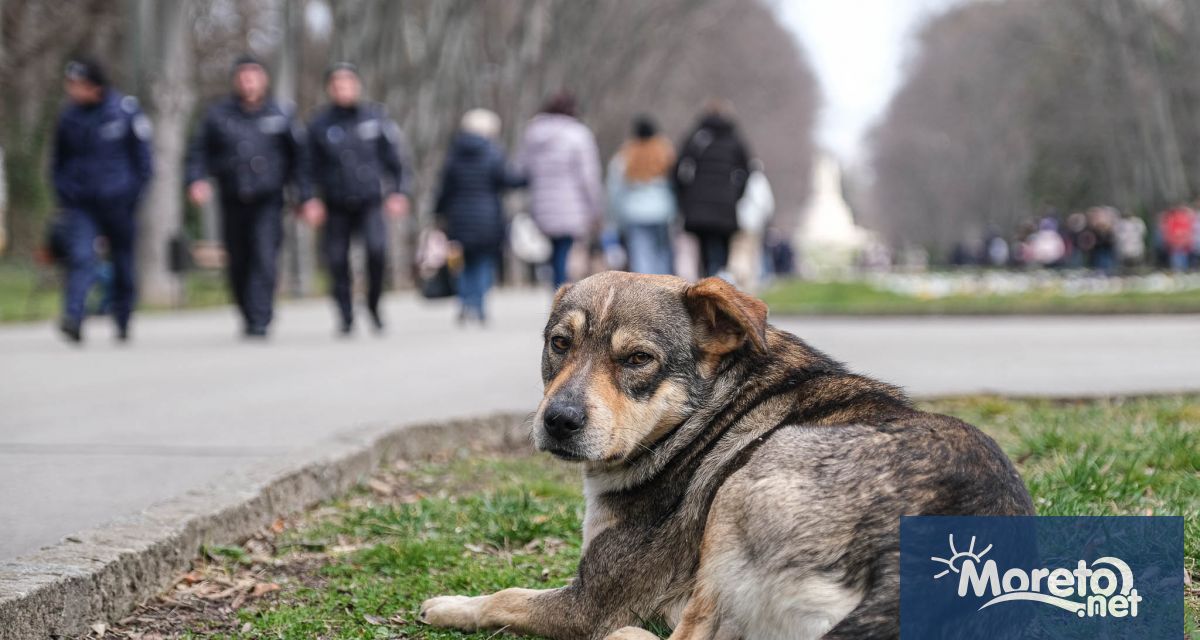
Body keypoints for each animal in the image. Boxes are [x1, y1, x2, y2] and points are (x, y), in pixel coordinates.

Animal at [420, 273, 1032, 638]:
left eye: (637, 359)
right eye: (559, 344)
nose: (559, 421)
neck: (707, 410)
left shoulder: (590, 601)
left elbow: (505, 597)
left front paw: (449, 605)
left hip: (741, 488)